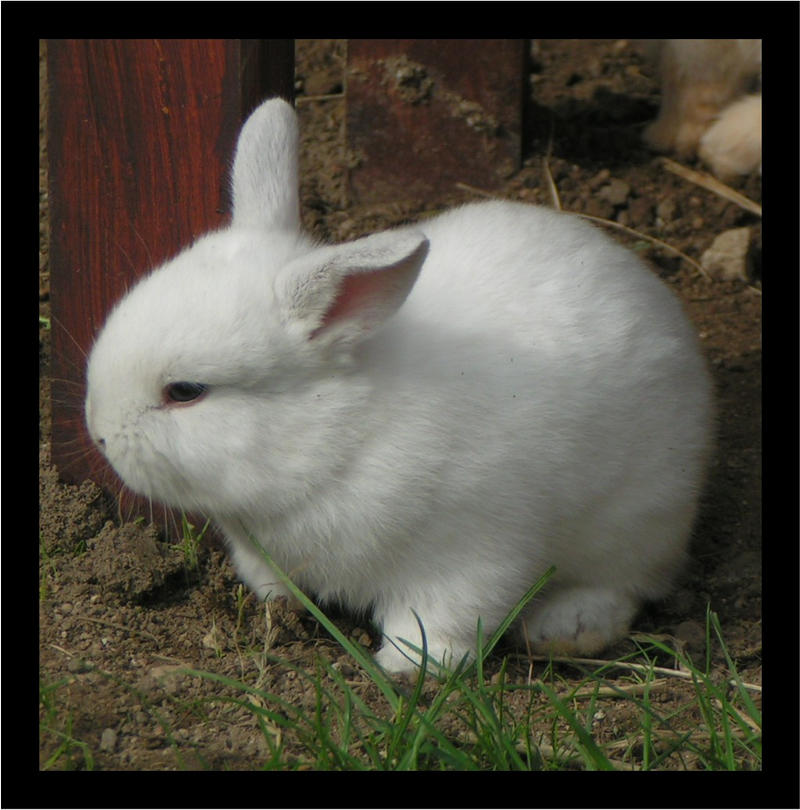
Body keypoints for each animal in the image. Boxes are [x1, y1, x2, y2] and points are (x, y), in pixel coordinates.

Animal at [85, 98, 714, 674]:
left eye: (186, 391)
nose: (99, 435)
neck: (337, 436)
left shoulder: (472, 554)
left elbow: (442, 619)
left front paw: (408, 668)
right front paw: (278, 609)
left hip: (640, 516)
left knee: (628, 583)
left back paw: (567, 627)